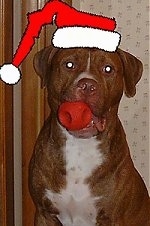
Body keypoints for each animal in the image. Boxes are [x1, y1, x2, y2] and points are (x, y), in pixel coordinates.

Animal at [28, 46, 149, 226]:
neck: (80, 145)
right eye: (69, 64)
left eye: (108, 69)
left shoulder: (112, 218)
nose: (87, 85)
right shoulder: (44, 213)